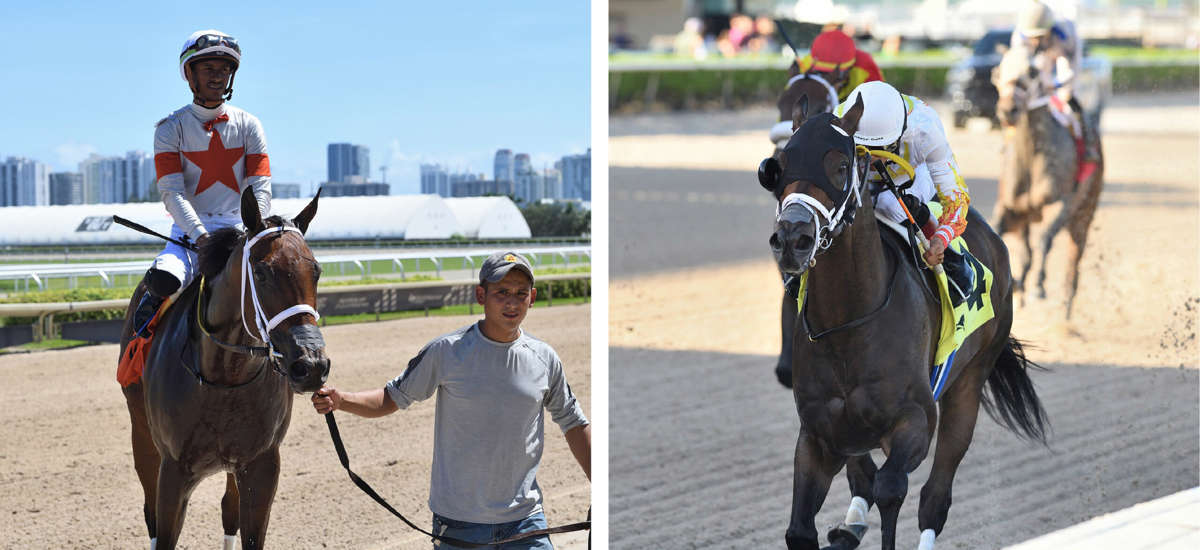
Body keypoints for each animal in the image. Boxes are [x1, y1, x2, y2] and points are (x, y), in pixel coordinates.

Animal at [119, 188, 330, 550]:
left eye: (315, 271)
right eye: (261, 273)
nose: (311, 364)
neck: (225, 378)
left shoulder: (261, 464)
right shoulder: (173, 470)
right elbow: (163, 530)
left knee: (229, 511)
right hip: (141, 433)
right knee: (150, 512)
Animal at [759, 95, 1048, 550]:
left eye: (842, 164)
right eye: (780, 164)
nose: (793, 238)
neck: (849, 323)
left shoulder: (915, 421)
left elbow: (892, 489)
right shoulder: (818, 435)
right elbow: (801, 529)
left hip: (969, 384)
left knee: (934, 497)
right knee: (863, 476)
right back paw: (851, 525)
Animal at [991, 51, 1104, 319]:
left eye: (1032, 72)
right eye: (1000, 70)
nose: (1008, 110)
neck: (1031, 155)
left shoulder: (1061, 203)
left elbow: (1045, 239)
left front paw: (1038, 287)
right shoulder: (1013, 209)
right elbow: (1000, 233)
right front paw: (1018, 284)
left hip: (1083, 216)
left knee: (1072, 270)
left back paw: (1065, 314)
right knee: (1026, 254)